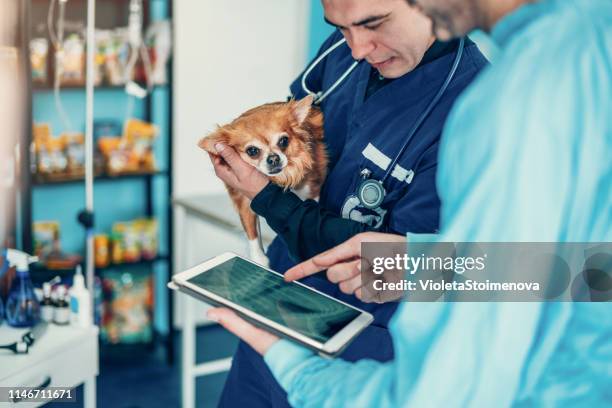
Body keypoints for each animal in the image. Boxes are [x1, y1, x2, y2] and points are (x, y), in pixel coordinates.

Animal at [198, 95, 328, 264]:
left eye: (284, 141)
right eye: (252, 151)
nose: (273, 158)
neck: (276, 180)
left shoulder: (312, 188)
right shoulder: (244, 200)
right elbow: (251, 232)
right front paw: (258, 258)